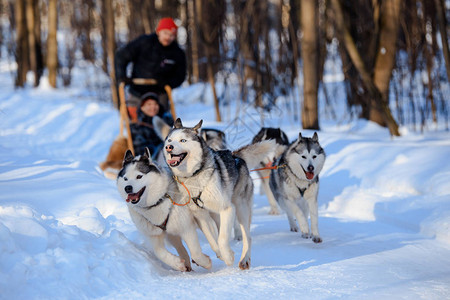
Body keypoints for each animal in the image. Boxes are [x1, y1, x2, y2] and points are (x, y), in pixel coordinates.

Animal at [156, 118, 276, 270]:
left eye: (183, 140)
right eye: (170, 140)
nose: (169, 147)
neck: (194, 176)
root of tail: (235, 156)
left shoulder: (227, 209)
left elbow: (222, 239)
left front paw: (228, 257)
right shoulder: (200, 216)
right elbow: (213, 239)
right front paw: (219, 254)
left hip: (241, 208)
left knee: (247, 236)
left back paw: (244, 259)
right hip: (215, 215)